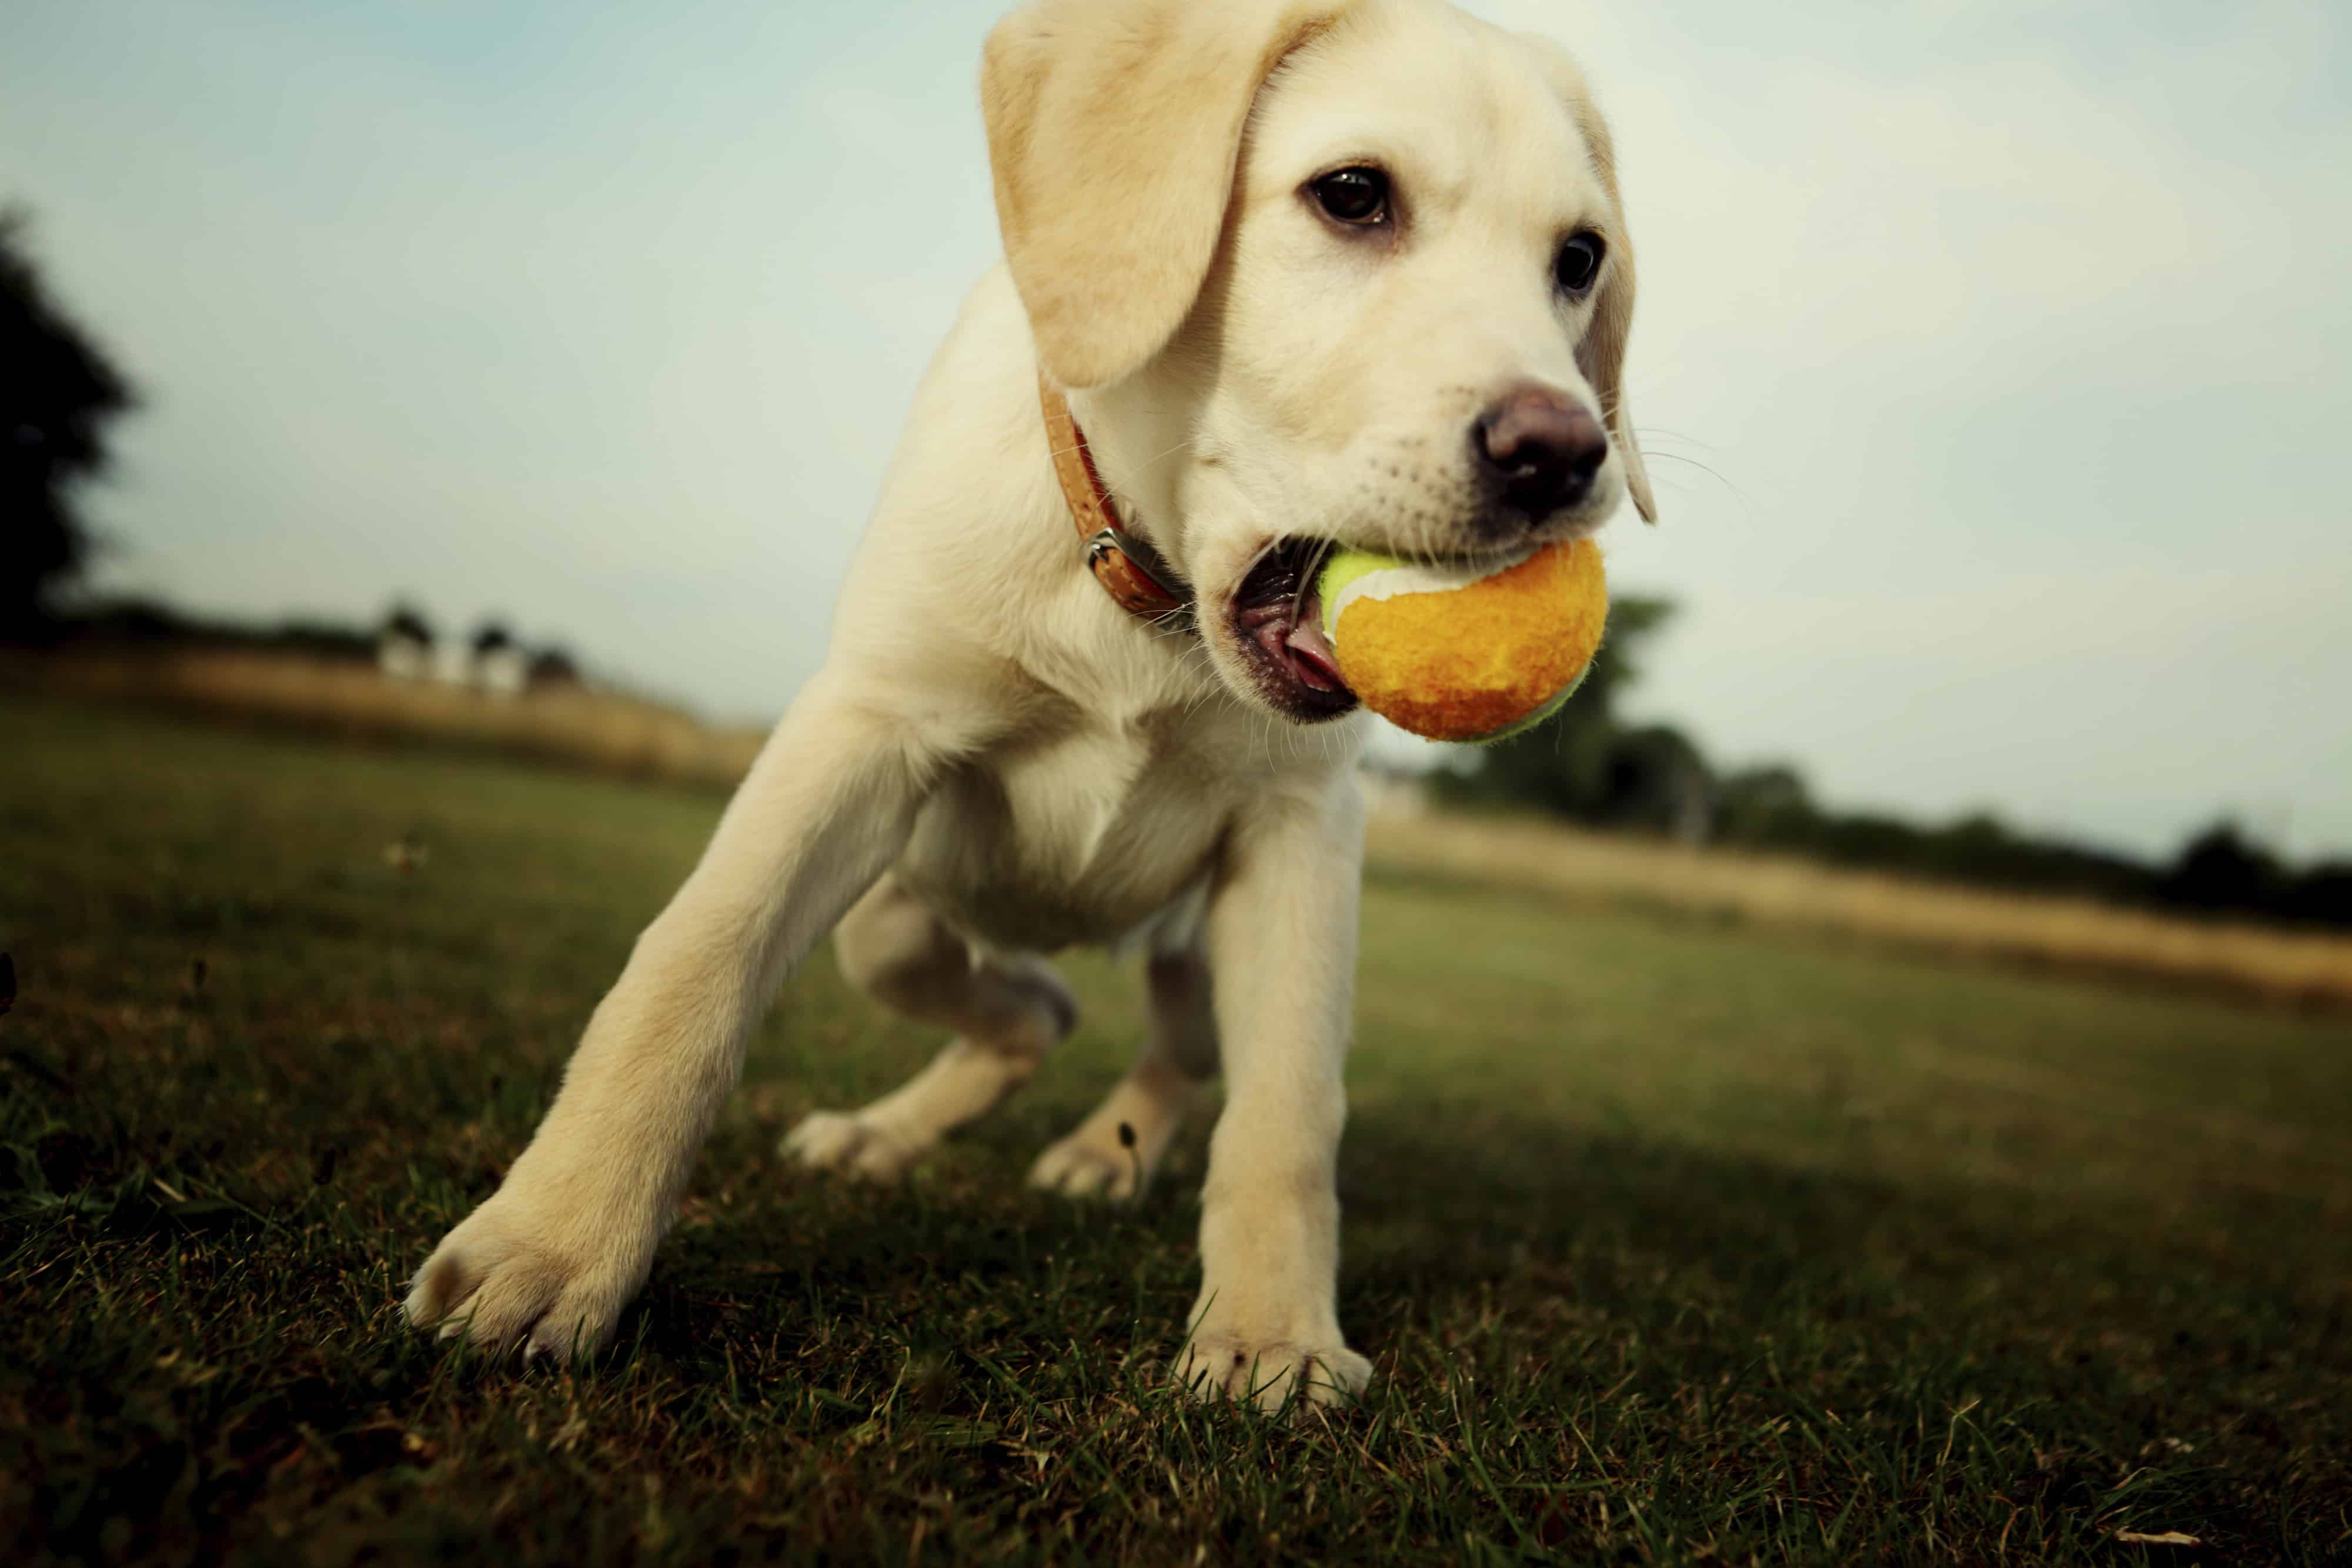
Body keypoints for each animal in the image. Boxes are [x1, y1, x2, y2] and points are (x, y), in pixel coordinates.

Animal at [409, 0, 1656, 1410]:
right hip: (903, 898)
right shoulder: (861, 729)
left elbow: (1287, 1106)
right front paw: (555, 1248)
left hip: (1185, 934)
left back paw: (1104, 1153)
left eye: (1577, 260)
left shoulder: (1302, 831)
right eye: (1352, 195)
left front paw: (1270, 1333)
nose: (1563, 457)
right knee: (1012, 997)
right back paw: (887, 1132)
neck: (1148, 606)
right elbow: (688, 968)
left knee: (1175, 1047)